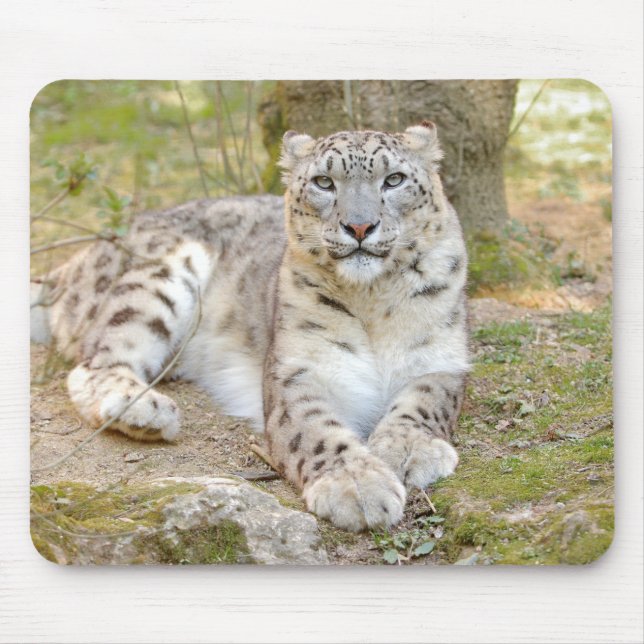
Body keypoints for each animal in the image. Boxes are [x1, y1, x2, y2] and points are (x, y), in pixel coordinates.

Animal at [31, 121, 469, 532]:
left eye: (394, 179)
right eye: (323, 182)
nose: (359, 227)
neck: (372, 300)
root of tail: (82, 258)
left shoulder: (441, 358)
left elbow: (424, 403)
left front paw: (408, 450)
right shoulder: (299, 369)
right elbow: (315, 429)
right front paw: (357, 486)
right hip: (156, 279)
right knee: (95, 361)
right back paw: (144, 410)